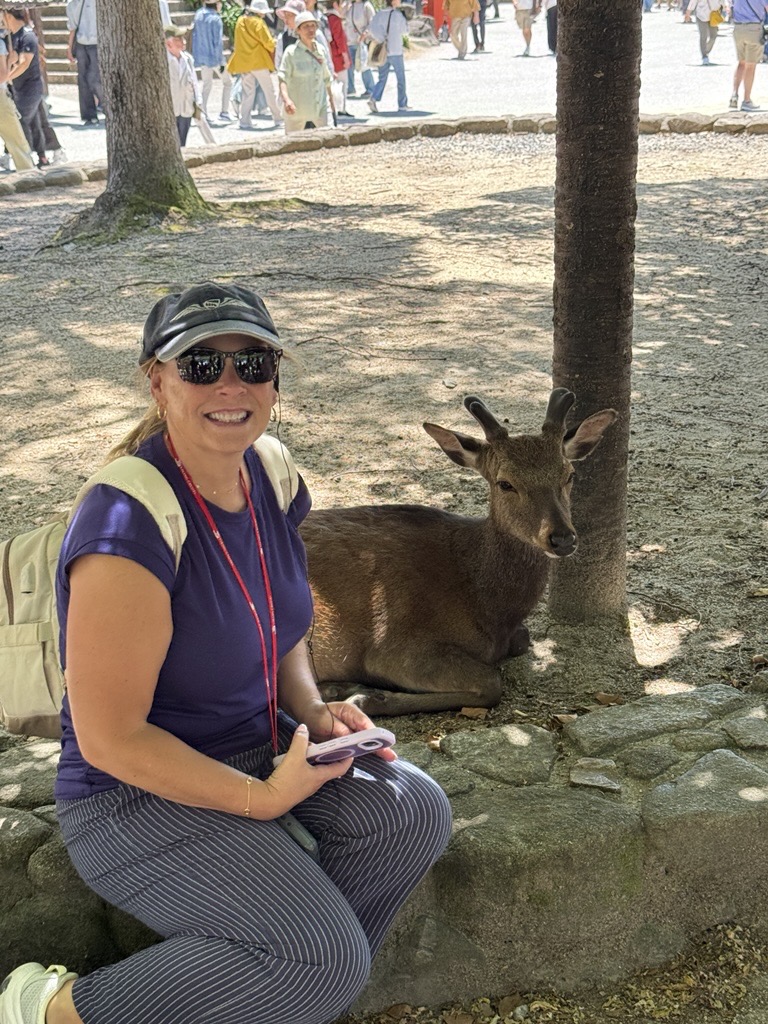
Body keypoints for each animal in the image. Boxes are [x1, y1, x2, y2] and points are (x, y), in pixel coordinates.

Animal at [300, 389, 617, 716]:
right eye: (505, 483)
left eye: (569, 475)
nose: (562, 539)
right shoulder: (391, 646)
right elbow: (491, 683)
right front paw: (363, 696)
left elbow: (522, 640)